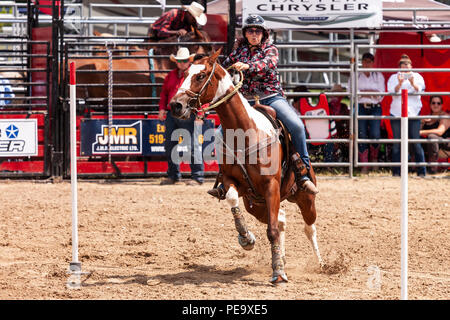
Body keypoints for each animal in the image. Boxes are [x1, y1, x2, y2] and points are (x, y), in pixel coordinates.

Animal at [169, 50, 324, 284]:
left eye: (201, 75)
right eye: (185, 73)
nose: (176, 105)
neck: (244, 132)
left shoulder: (271, 186)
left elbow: (272, 231)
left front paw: (278, 274)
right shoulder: (232, 182)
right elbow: (233, 199)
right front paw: (246, 238)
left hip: (304, 197)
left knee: (309, 227)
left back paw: (321, 264)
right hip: (256, 205)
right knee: (281, 219)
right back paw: (282, 257)